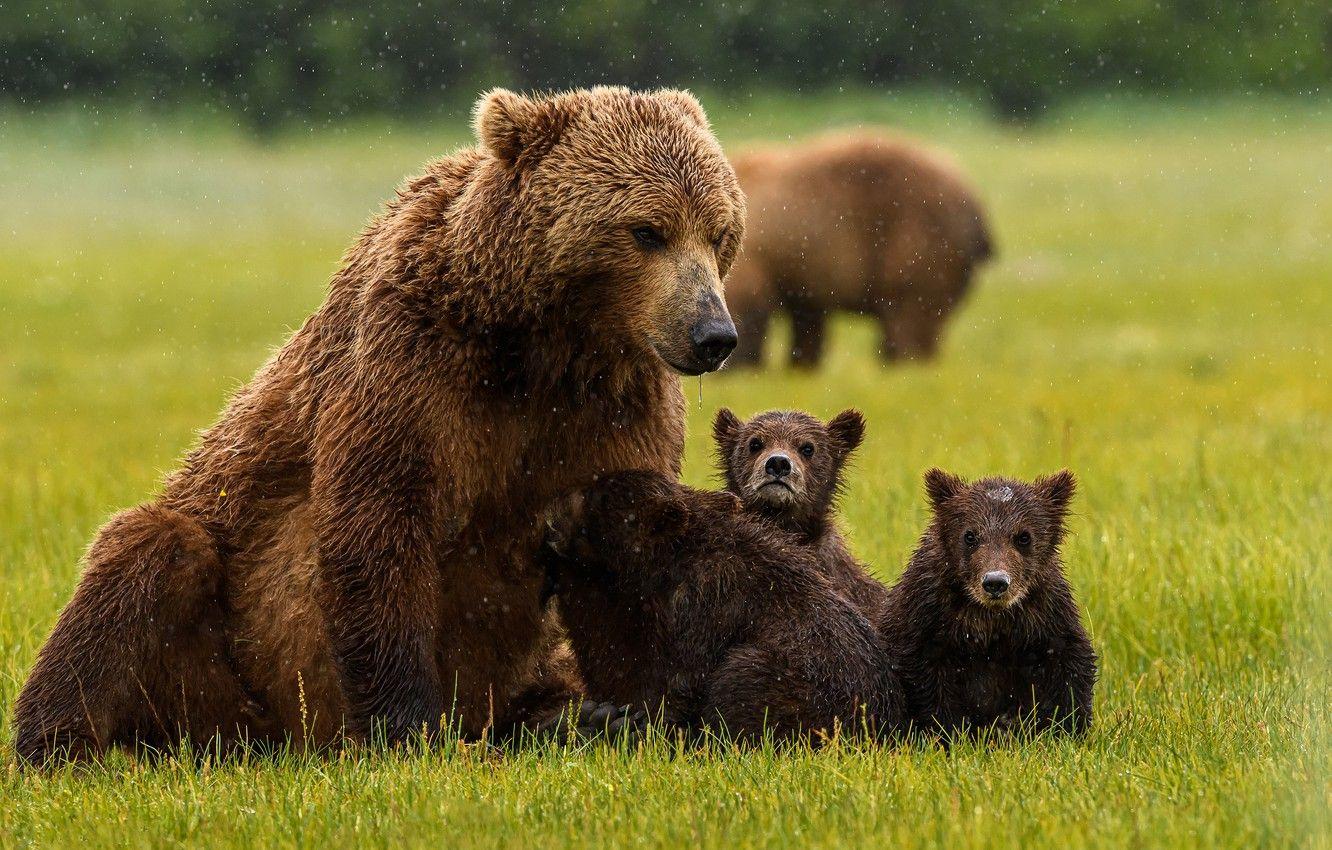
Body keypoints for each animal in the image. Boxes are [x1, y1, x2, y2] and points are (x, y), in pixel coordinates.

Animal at [13, 86, 747, 764]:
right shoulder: (414, 369)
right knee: (148, 556)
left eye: (718, 232)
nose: (713, 334)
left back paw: (566, 718)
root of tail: (277, 740)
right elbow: (380, 522)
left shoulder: (615, 409)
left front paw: (627, 710)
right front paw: (409, 728)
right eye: (647, 230)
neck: (541, 346)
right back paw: (66, 744)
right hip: (224, 651)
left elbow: (616, 544)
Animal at [724, 131, 993, 368]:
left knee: (911, 316)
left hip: (919, 239)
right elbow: (808, 323)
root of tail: (977, 208)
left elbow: (749, 305)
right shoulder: (803, 275)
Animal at [880, 469, 1097, 737]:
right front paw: (948, 732)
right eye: (970, 535)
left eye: (1023, 536)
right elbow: (925, 675)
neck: (990, 618)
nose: (995, 582)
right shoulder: (926, 613)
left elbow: (1067, 662)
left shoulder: (1045, 613)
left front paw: (1066, 729)